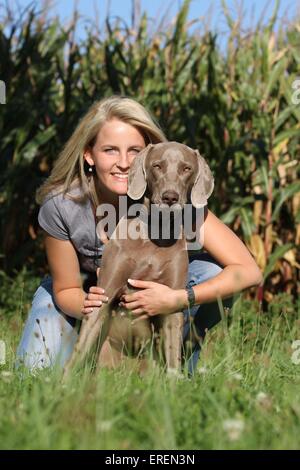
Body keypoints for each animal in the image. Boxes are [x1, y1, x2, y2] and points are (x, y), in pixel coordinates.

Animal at [62, 141, 213, 376]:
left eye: (186, 168)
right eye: (157, 166)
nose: (170, 197)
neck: (156, 233)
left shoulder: (172, 300)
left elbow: (173, 358)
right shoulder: (104, 293)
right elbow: (81, 346)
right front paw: (63, 381)